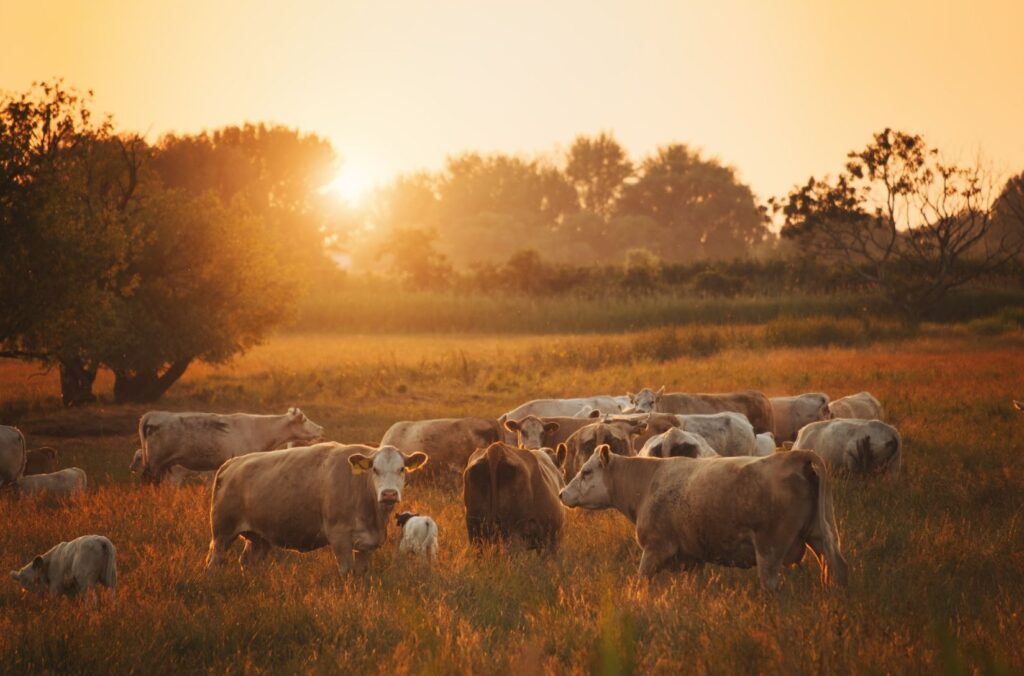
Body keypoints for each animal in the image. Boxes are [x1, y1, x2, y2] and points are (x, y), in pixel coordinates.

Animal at [205, 444, 430, 577]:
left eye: (402, 469)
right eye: (375, 469)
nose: (389, 494)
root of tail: (233, 463)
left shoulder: (366, 544)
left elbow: (360, 573)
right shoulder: (339, 538)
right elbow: (347, 572)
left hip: (260, 538)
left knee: (248, 561)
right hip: (222, 532)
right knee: (214, 561)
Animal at [561, 446, 847, 589]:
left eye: (586, 472)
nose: (563, 493)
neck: (647, 482)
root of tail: (794, 456)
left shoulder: (655, 548)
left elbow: (641, 580)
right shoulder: (693, 558)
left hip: (770, 549)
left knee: (771, 583)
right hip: (821, 535)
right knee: (837, 568)